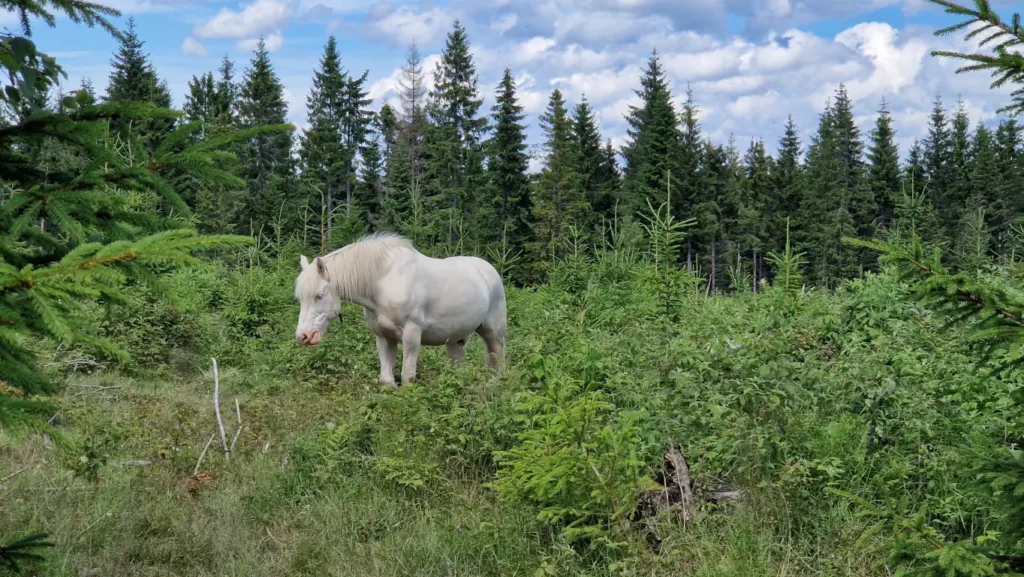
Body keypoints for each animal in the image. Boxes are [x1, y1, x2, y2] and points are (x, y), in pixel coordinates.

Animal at [294, 231, 505, 387]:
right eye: (300, 299)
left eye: (319, 295)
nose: (303, 336)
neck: (385, 281)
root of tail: (488, 270)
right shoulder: (384, 338)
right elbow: (387, 379)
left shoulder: (412, 335)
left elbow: (407, 377)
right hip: (455, 340)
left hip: (494, 334)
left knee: (499, 362)